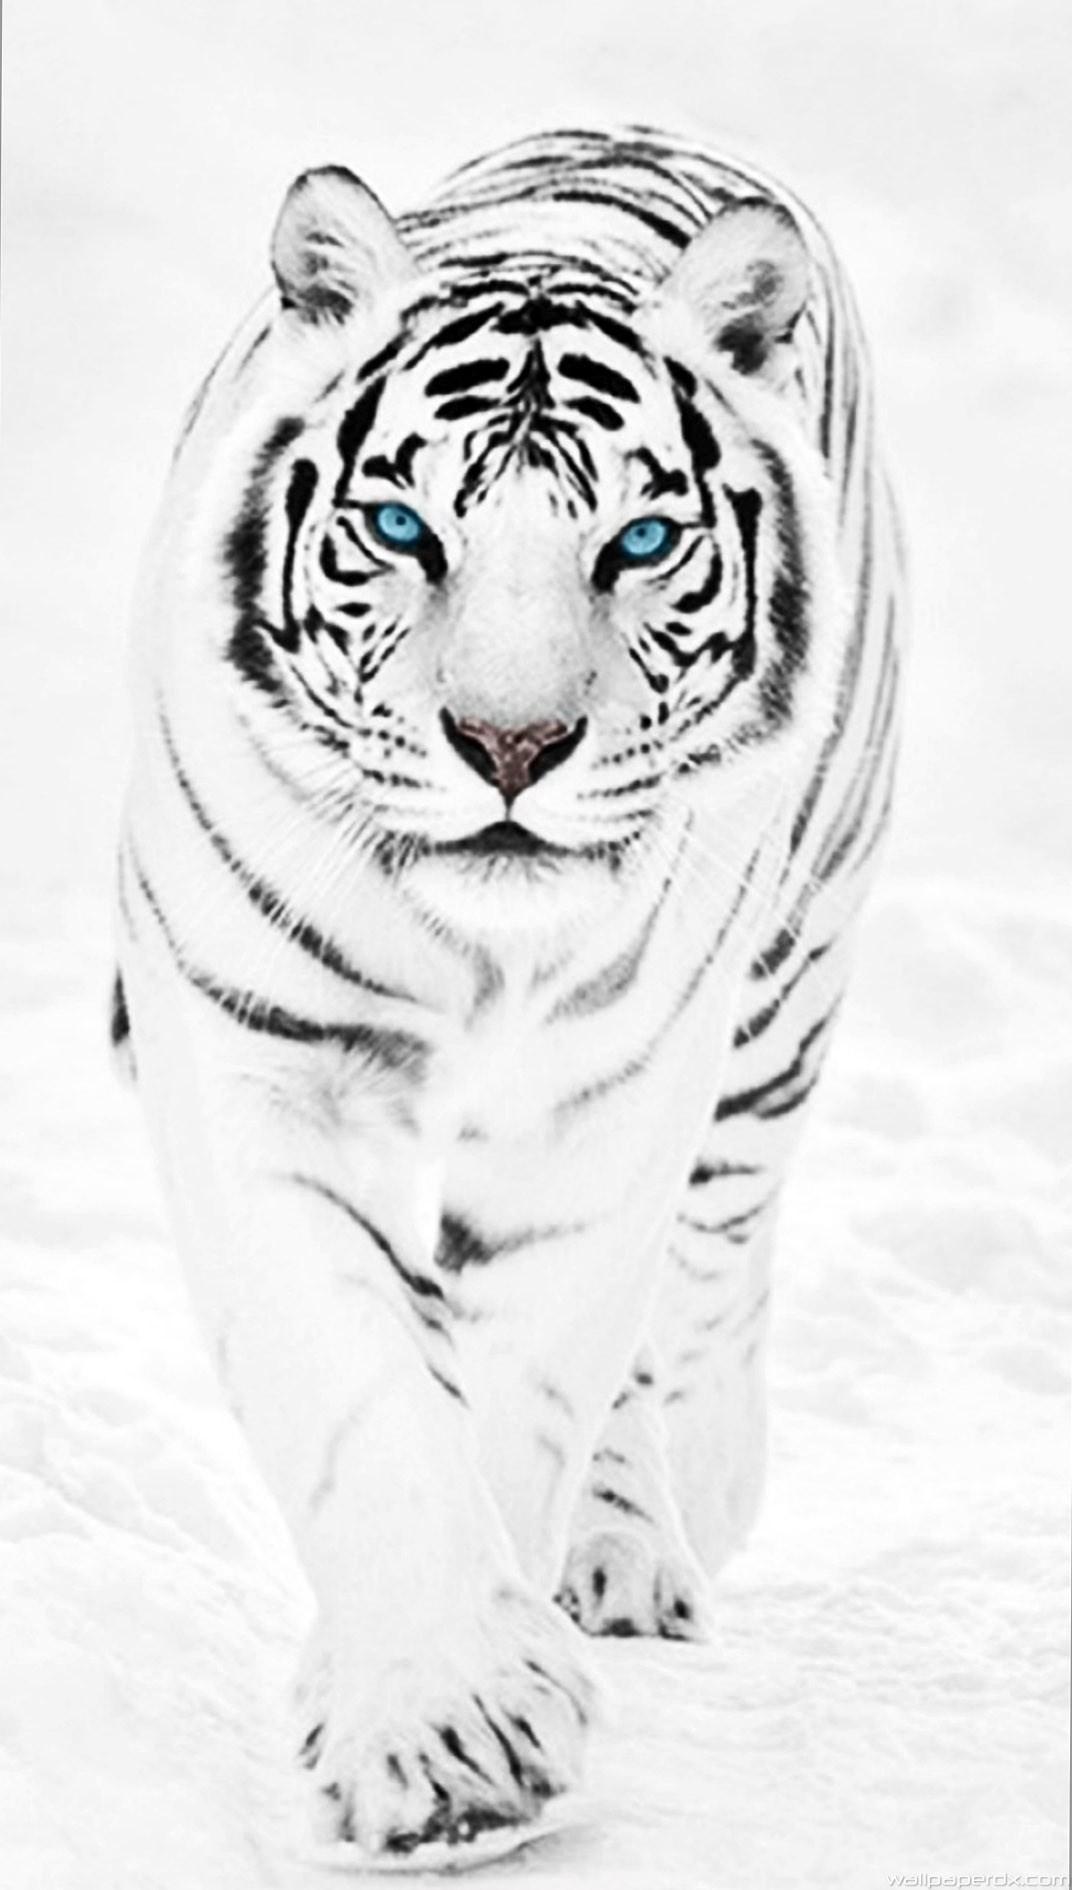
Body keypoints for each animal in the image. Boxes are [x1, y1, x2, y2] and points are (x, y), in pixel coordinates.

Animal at [115, 126, 904, 1864]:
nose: (512, 747)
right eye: (405, 531)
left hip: (782, 987)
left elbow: (531, 1376)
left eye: (641, 544)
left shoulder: (603, 1111)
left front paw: (451, 1714)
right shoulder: (252, 1055)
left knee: (708, 1270)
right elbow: (359, 1383)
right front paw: (435, 1728)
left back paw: (671, 1517)